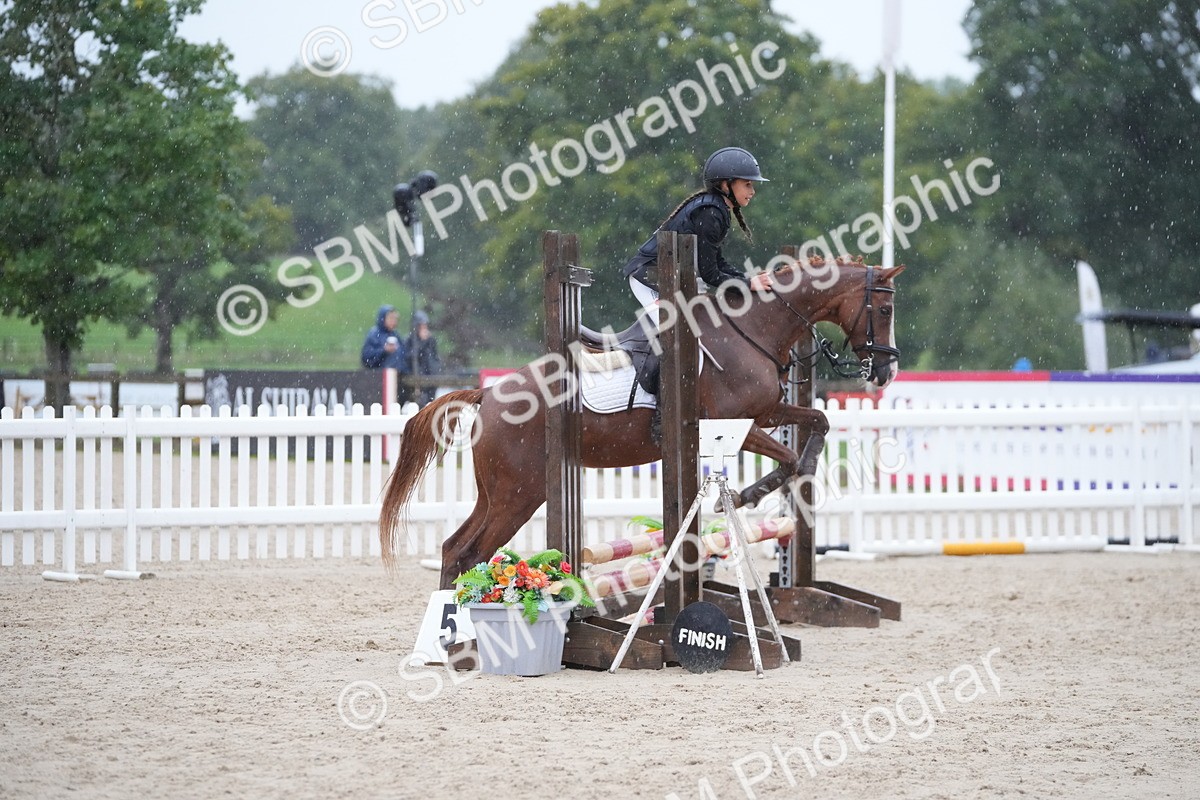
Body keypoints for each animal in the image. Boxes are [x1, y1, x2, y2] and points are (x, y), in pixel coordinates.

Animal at [380, 257, 905, 588]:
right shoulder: (737, 424)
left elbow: (818, 420)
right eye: (884, 308)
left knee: (454, 549)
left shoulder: (769, 412)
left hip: (499, 493)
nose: (885, 371)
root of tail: (487, 394)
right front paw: (752, 493)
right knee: (470, 553)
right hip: (520, 494)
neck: (751, 330)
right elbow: (789, 455)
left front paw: (788, 480)